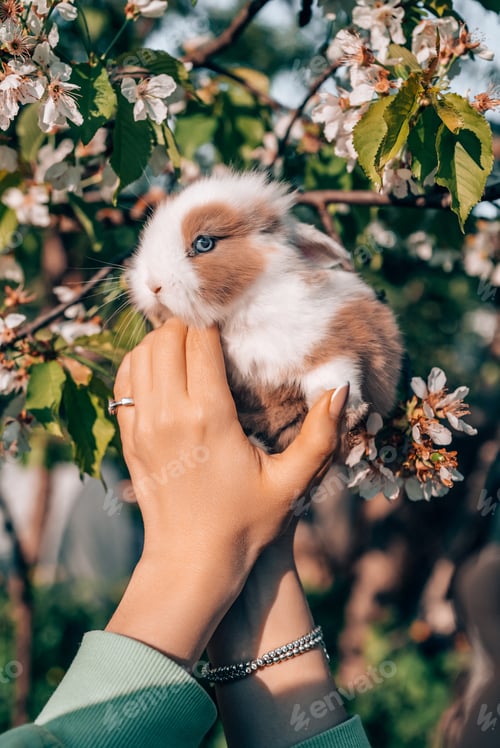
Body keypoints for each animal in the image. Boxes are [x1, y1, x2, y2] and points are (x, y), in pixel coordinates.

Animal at [127, 171, 403, 454]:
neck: (241, 310)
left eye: (204, 243)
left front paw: (344, 408)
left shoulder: (335, 332)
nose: (152, 285)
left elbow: (335, 369)